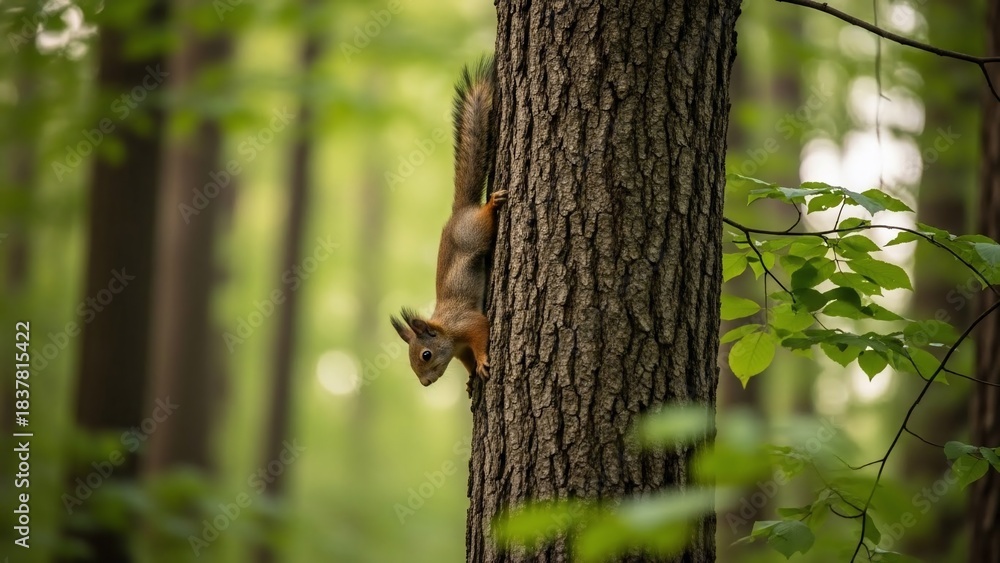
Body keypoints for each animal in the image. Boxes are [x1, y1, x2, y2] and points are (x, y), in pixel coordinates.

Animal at [391, 56, 505, 389]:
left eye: (426, 355)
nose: (425, 383)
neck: (446, 331)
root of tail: (460, 211)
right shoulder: (460, 348)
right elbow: (466, 359)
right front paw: (471, 376)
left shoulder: (468, 323)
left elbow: (481, 331)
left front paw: (483, 362)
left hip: (476, 231)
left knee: (485, 219)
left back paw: (492, 204)